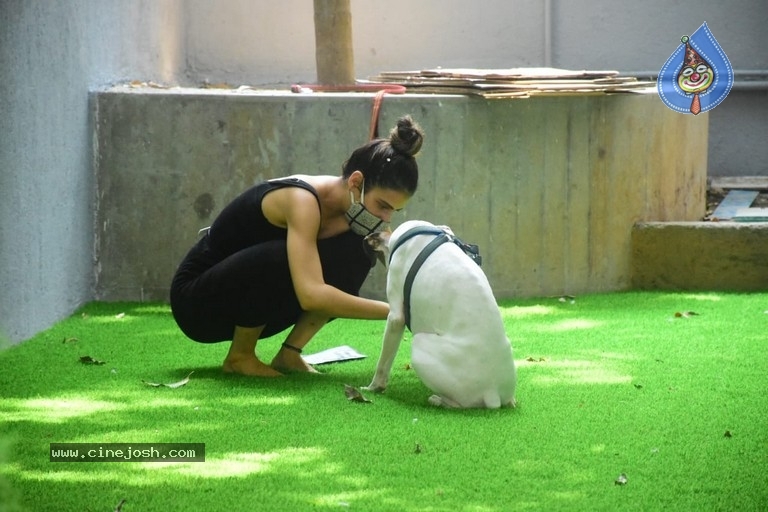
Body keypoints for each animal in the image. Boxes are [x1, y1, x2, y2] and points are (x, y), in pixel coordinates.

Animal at [364, 220, 516, 408]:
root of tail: (492, 393)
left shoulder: (395, 318)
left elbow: (383, 362)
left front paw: (373, 387)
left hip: (419, 345)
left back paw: (437, 400)